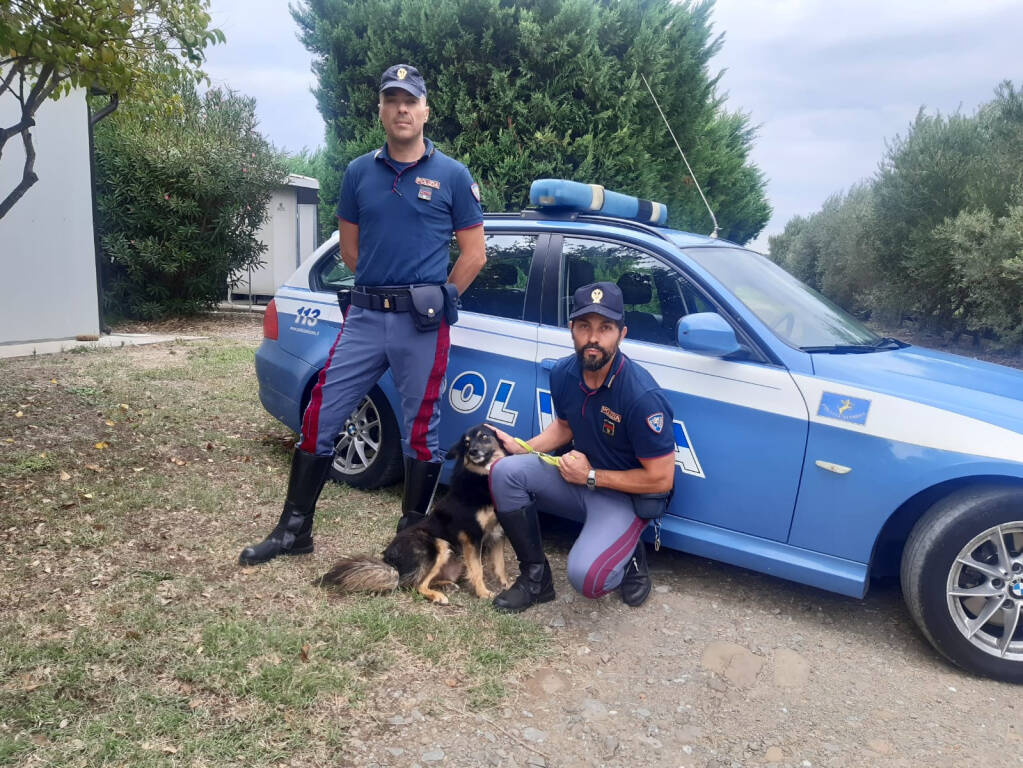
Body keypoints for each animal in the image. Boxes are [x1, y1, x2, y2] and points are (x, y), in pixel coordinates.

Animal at [317, 423, 509, 605]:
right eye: (467, 443)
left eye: (484, 436)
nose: (472, 451)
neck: (483, 477)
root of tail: (392, 563)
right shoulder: (472, 536)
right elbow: (478, 569)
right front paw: (483, 592)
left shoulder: (498, 533)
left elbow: (500, 564)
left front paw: (506, 585)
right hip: (438, 545)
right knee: (416, 584)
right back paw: (437, 595)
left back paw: (447, 585)